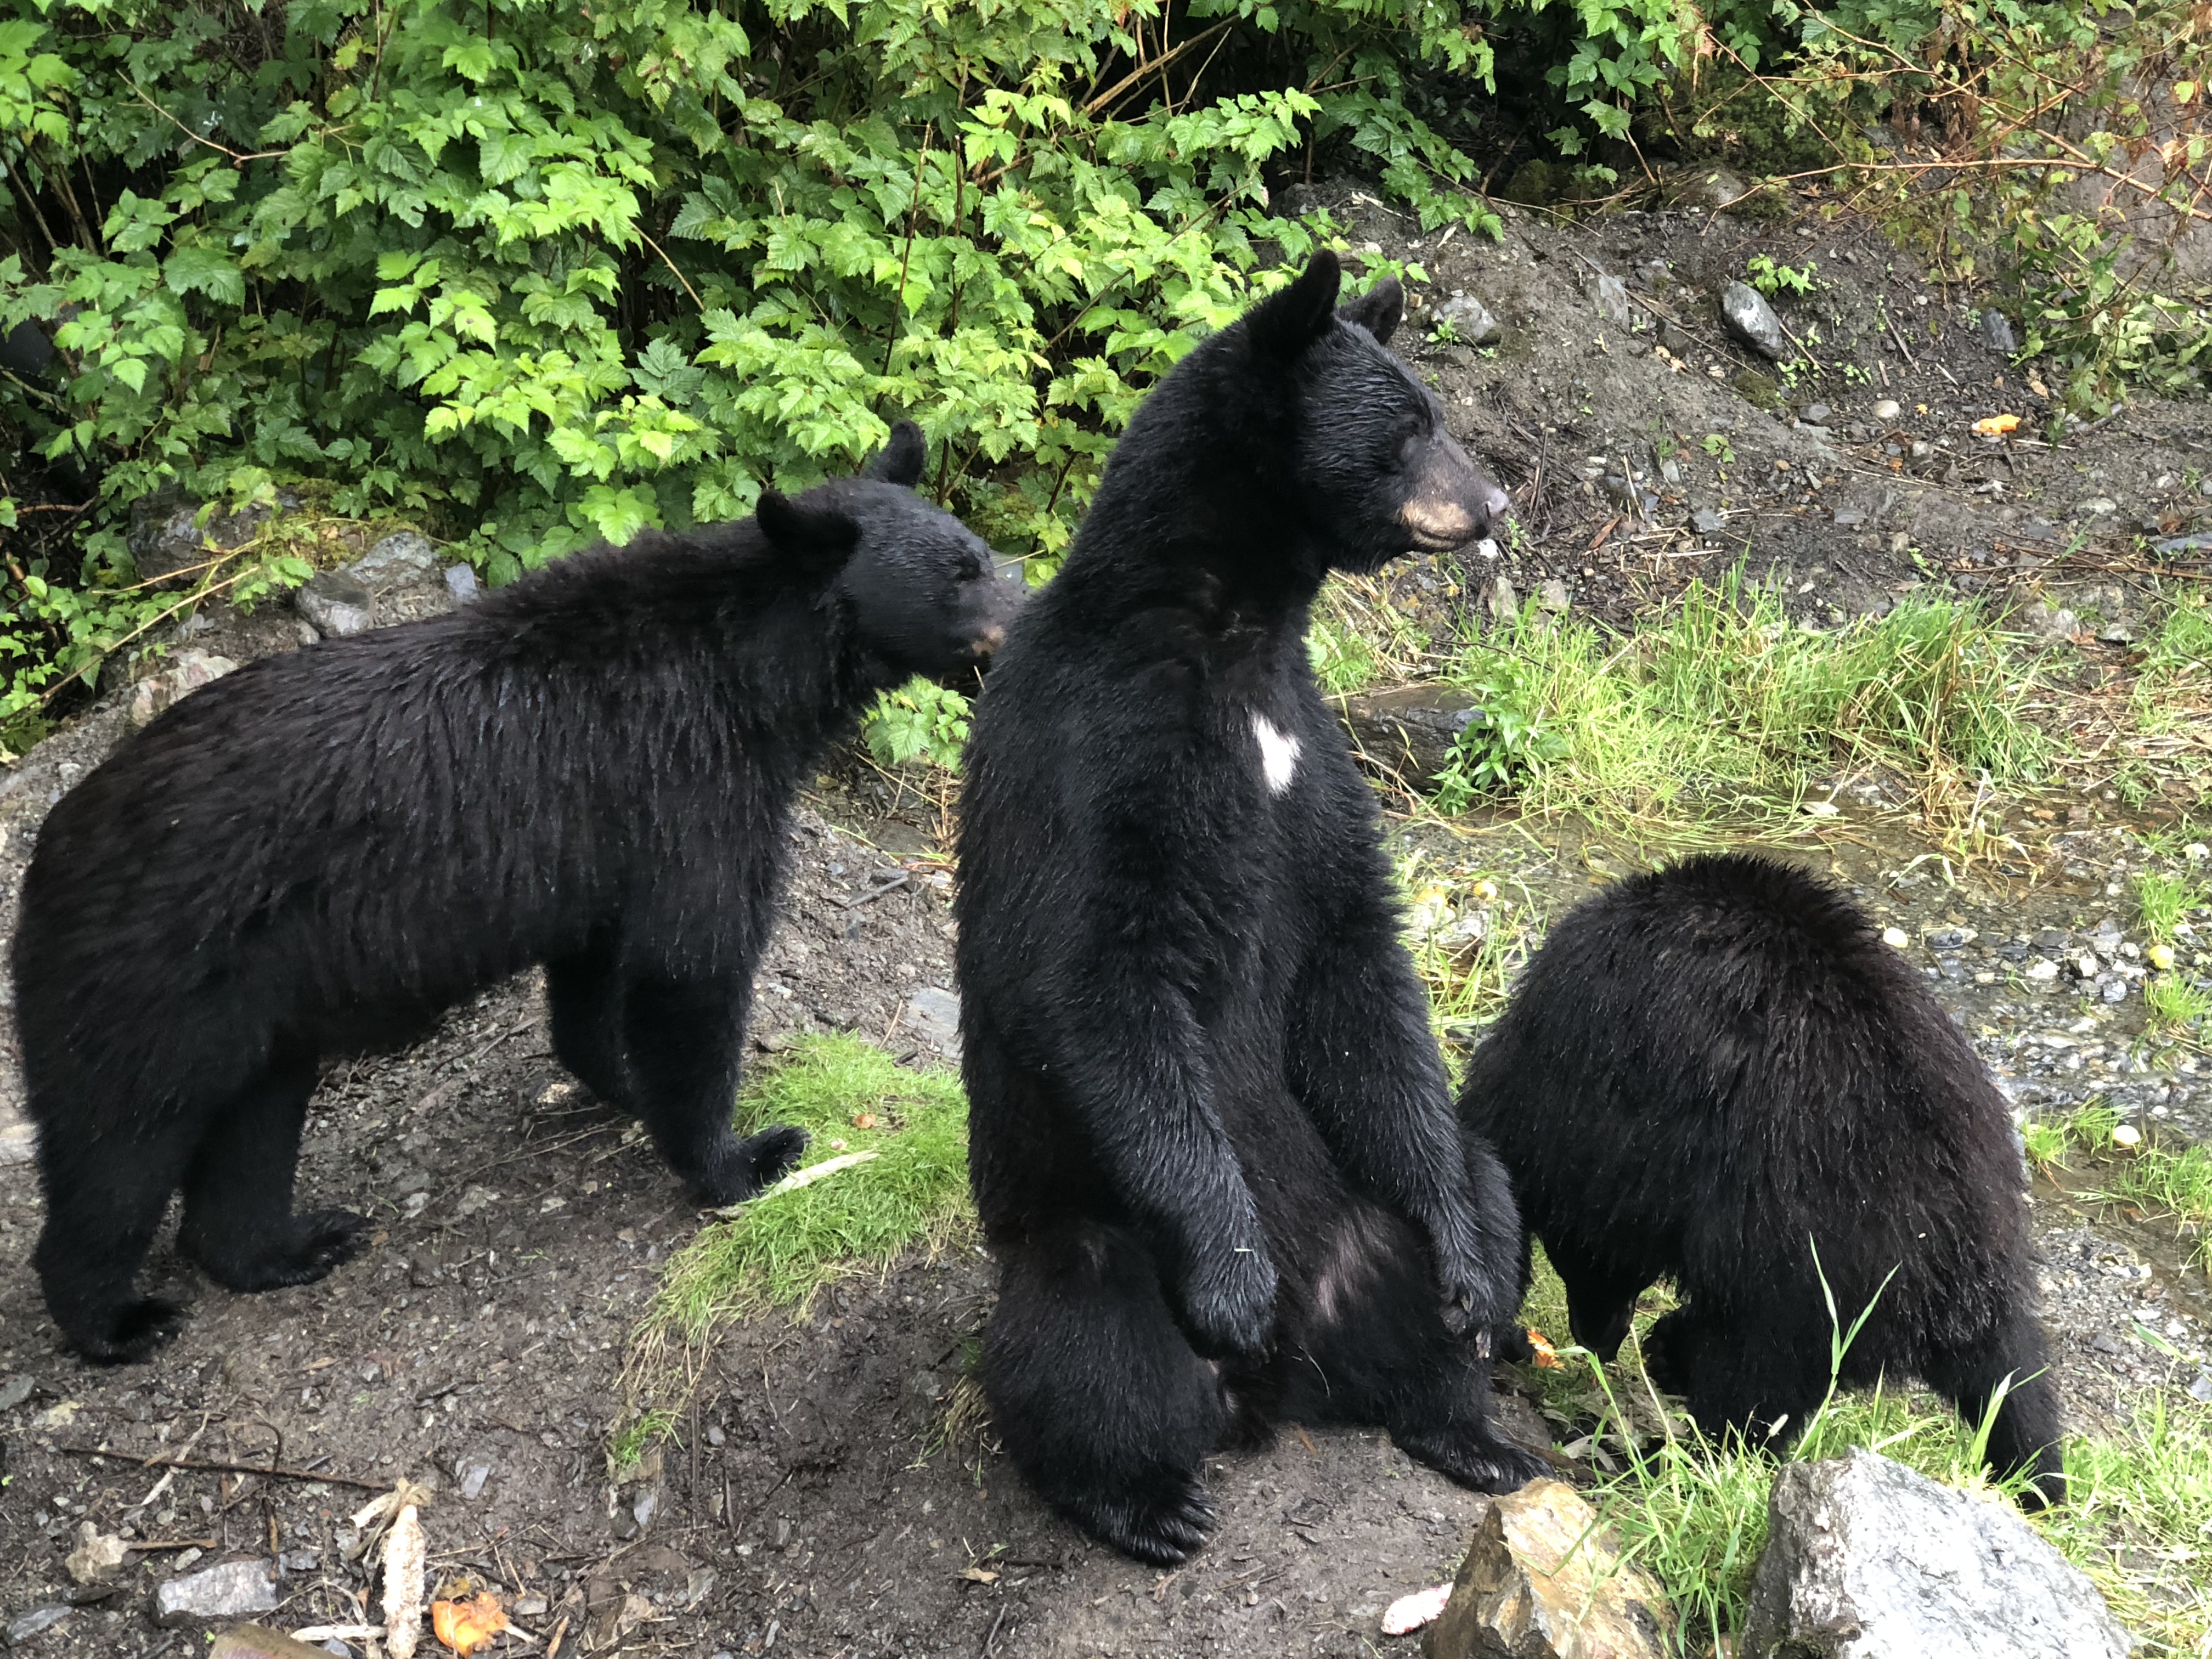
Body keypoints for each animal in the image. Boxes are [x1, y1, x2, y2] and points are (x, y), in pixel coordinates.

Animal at [14, 421, 1025, 1364]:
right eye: (961, 574)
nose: (1025, 617)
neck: (751, 672)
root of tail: (51, 851)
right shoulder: (691, 784)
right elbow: (692, 966)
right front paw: (744, 1159)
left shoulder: (602, 847)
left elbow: (595, 980)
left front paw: (619, 1083)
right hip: (156, 981)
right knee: (117, 1148)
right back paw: (116, 1319)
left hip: (260, 1008)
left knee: (252, 1127)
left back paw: (289, 1246)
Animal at [953, 250, 1542, 1566]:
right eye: (1410, 430)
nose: (1493, 502)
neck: (1229, 625)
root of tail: (1282, 1383)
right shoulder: (1100, 750)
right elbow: (1100, 974)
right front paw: (1231, 1280)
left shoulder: (1311, 758)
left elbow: (1355, 960)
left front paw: (1469, 1273)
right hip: (1089, 1233)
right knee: (1089, 1345)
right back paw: (1147, 1500)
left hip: (1370, 1222)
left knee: (1478, 1197)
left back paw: (1474, 1412)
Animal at [1457, 851, 2066, 1507]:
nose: (1599, 1342)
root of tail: (1958, 1278)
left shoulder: (1580, 1083)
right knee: (2018, 1394)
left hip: (1798, 1261)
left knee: (1750, 1390)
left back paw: (1673, 1448)